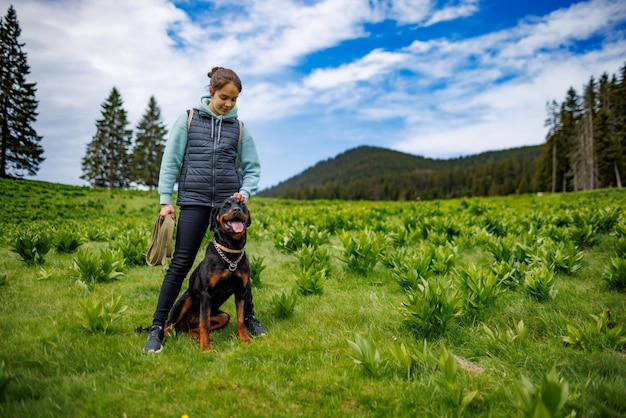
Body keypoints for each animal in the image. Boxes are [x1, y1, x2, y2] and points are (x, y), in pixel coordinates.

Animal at [166, 198, 254, 348]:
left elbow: (241, 319)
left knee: (192, 328)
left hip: (223, 316)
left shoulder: (241, 291)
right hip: (186, 300)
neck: (231, 251)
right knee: (169, 325)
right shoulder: (206, 293)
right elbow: (205, 323)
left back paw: (196, 336)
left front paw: (244, 338)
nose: (237, 210)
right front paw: (206, 346)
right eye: (226, 205)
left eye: (241, 204)